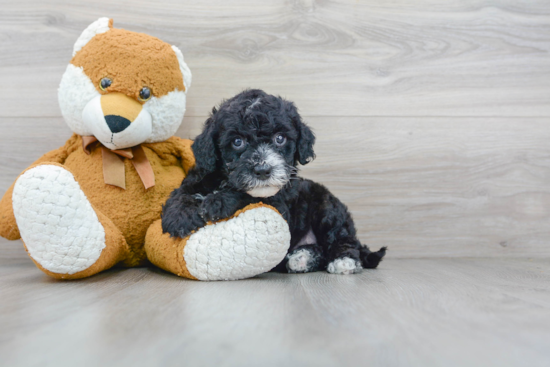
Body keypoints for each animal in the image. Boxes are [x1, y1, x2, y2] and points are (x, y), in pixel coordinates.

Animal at [163, 88, 388, 274]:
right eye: (237, 142)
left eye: (280, 138)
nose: (263, 170)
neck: (225, 180)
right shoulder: (201, 174)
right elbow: (182, 191)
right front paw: (179, 216)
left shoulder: (279, 203)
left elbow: (248, 196)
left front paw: (217, 202)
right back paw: (302, 258)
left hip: (327, 208)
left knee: (342, 238)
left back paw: (343, 261)